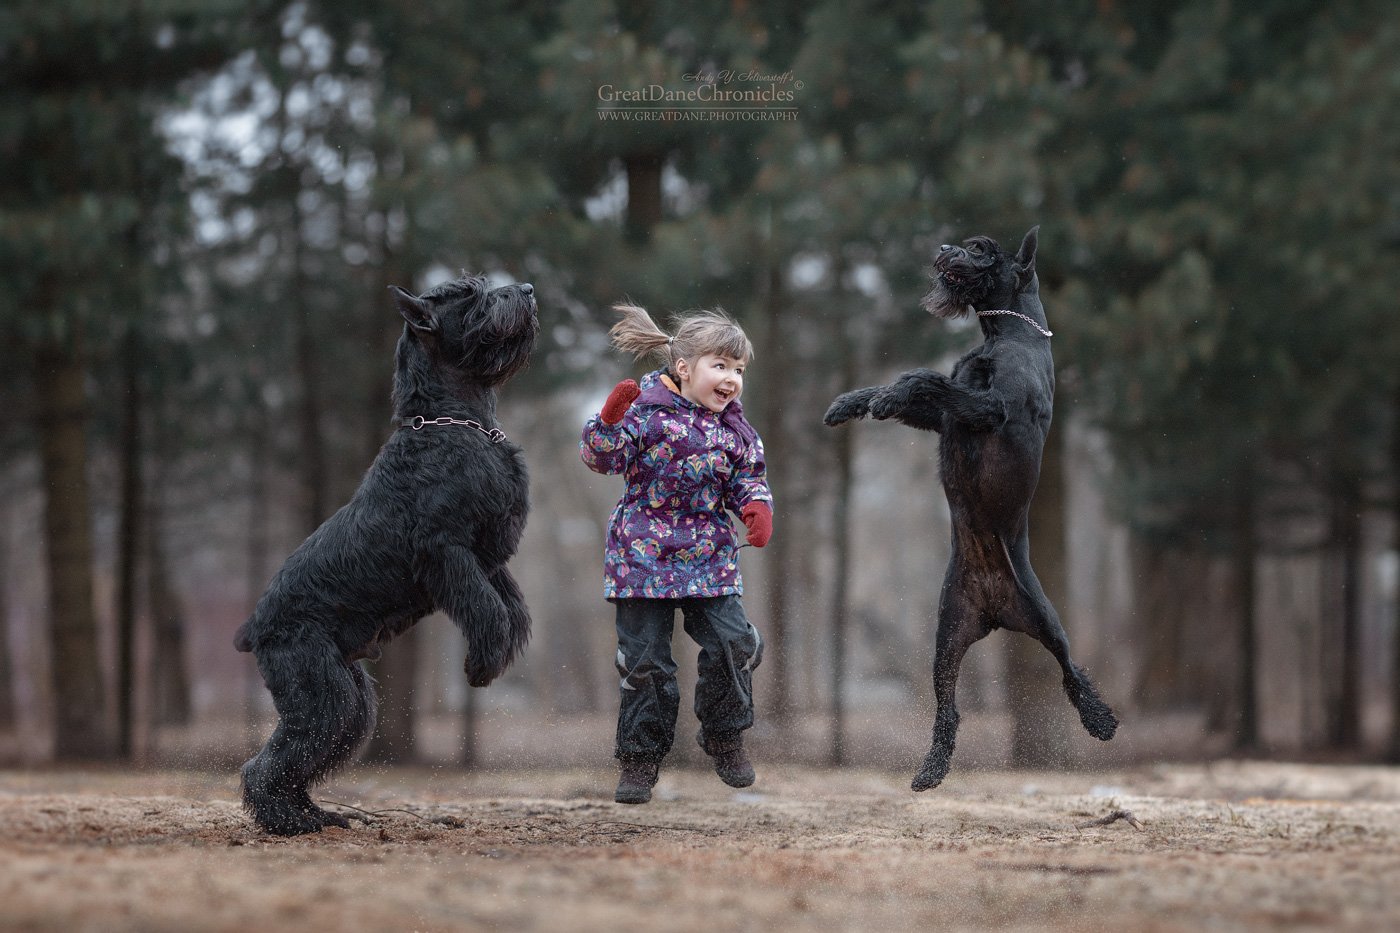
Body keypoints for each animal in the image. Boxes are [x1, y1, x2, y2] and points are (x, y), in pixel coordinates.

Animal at [232, 273, 537, 829]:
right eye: (470, 296)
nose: (525, 289)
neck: (451, 420)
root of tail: (255, 631)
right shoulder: (447, 552)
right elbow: (484, 606)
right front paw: (482, 663)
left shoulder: (489, 556)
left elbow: (509, 605)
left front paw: (504, 649)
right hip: (323, 697)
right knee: (266, 764)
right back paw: (289, 821)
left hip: (350, 703)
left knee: (298, 759)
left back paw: (316, 814)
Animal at [823, 225, 1120, 784]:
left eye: (982, 249)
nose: (944, 249)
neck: (1010, 334)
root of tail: (995, 609)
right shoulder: (948, 417)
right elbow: (923, 389)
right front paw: (852, 401)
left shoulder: (989, 408)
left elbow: (924, 378)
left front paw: (886, 396)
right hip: (947, 636)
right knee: (949, 708)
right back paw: (931, 768)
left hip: (1045, 618)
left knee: (1071, 667)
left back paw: (1100, 720)